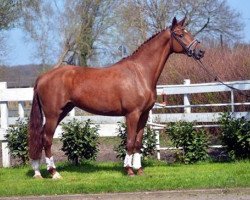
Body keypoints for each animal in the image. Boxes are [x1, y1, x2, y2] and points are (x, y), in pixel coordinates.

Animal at [28, 17, 204, 179]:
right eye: (180, 34)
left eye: (188, 32)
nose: (201, 52)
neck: (140, 72)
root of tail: (42, 77)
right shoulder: (132, 114)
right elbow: (130, 141)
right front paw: (129, 170)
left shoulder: (144, 115)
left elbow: (138, 142)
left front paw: (139, 170)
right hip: (52, 115)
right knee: (46, 139)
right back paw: (53, 172)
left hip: (62, 111)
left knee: (40, 138)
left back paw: (38, 172)